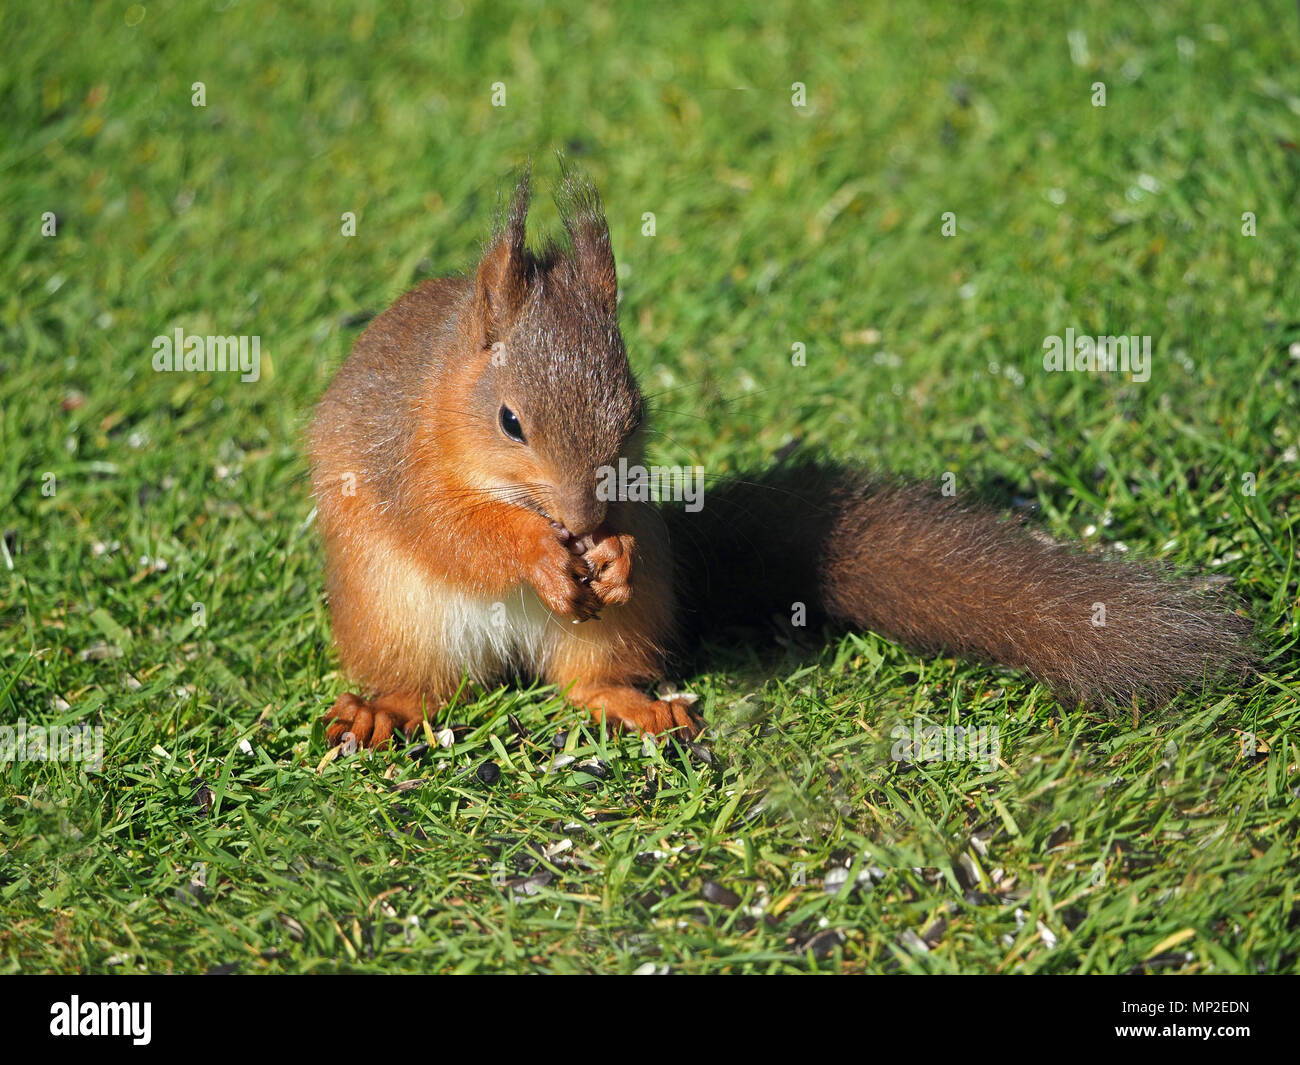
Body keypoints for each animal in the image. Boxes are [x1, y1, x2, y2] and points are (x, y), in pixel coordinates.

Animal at [304, 169, 1248, 749]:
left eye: (635, 413)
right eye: (509, 421)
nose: (583, 519)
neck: (448, 410)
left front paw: (615, 551)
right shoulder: (398, 467)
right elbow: (455, 530)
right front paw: (537, 550)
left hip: (616, 628)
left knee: (587, 680)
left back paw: (634, 701)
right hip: (395, 618)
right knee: (428, 685)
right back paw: (385, 708)